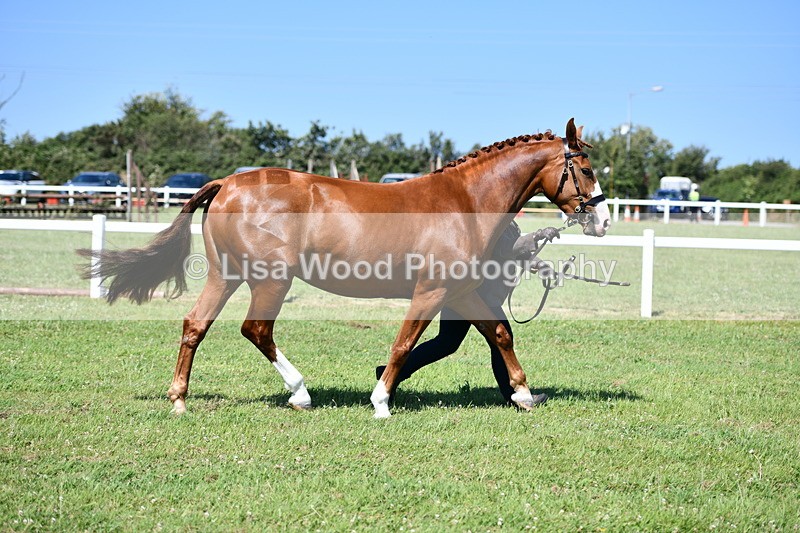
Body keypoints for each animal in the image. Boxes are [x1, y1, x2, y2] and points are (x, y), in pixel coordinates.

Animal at [80, 118, 610, 418]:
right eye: (584, 169)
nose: (603, 220)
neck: (464, 201)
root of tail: (227, 183)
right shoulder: (432, 291)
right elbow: (404, 343)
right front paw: (380, 402)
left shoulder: (460, 293)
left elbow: (499, 333)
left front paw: (523, 394)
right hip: (271, 280)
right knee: (256, 330)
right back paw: (300, 394)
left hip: (225, 275)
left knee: (195, 325)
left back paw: (179, 400)